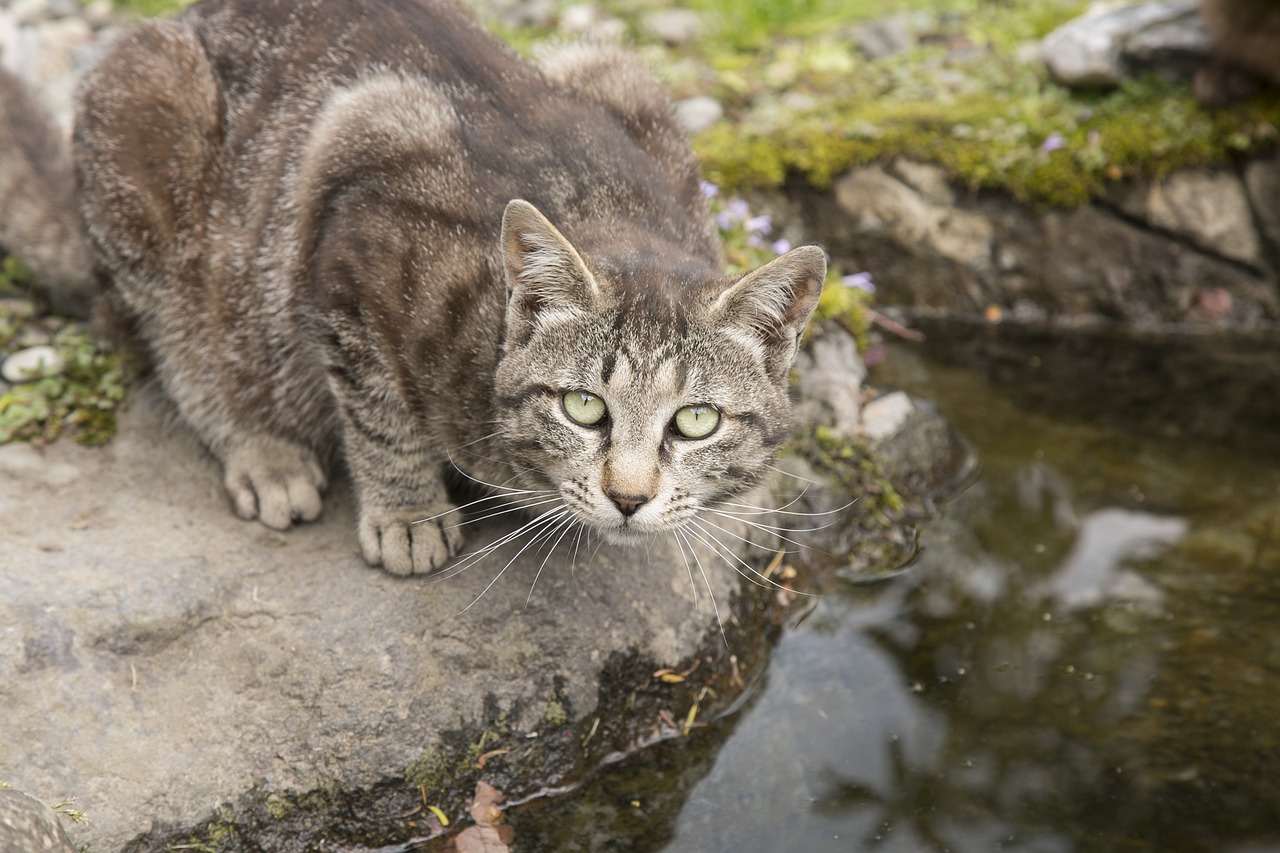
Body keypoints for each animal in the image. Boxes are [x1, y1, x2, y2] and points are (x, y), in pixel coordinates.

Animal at [0, 0, 824, 573]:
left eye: (695, 422)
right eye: (584, 407)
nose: (629, 497)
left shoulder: (629, 83)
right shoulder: (352, 207)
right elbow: (378, 409)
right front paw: (407, 513)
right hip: (147, 144)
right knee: (172, 343)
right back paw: (262, 445)